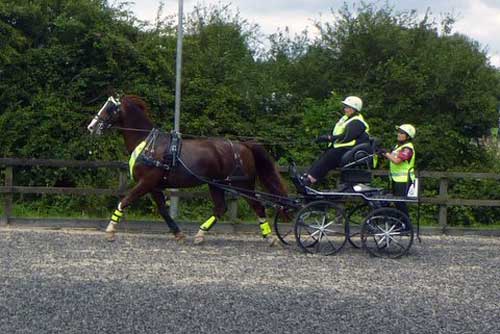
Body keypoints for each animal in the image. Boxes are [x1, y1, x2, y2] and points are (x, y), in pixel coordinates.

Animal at [88, 95, 288, 244]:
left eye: (109, 108)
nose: (91, 126)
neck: (148, 144)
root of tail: (243, 145)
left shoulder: (146, 182)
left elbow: (125, 201)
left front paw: (110, 230)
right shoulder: (154, 186)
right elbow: (162, 210)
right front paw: (178, 234)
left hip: (242, 185)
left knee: (257, 205)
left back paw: (269, 237)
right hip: (216, 184)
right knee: (221, 208)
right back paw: (200, 234)